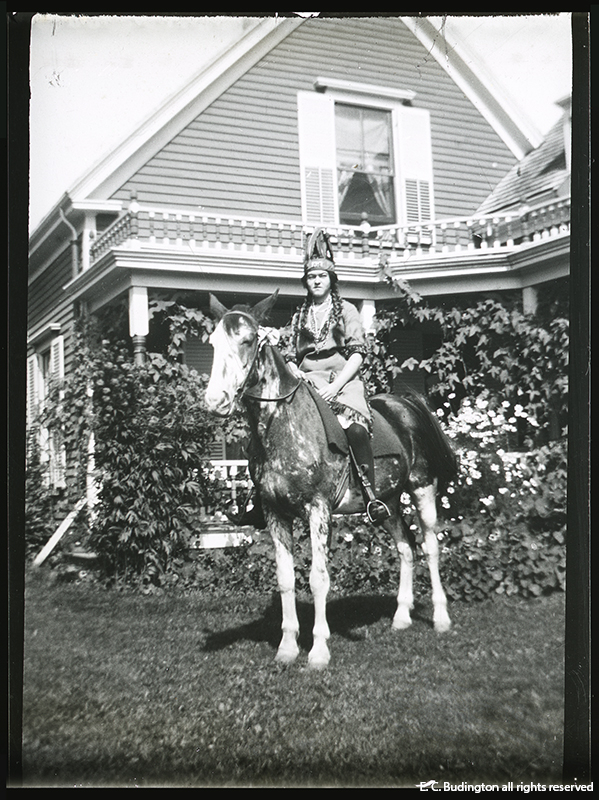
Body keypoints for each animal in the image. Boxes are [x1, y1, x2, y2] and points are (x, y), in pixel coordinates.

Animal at [204, 291, 458, 669]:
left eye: (248, 341)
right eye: (213, 343)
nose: (215, 401)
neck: (284, 425)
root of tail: (404, 403)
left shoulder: (318, 510)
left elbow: (318, 578)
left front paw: (318, 650)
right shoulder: (275, 514)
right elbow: (285, 579)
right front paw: (287, 647)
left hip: (422, 489)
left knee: (430, 546)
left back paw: (441, 618)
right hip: (389, 502)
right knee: (405, 547)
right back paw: (401, 617)